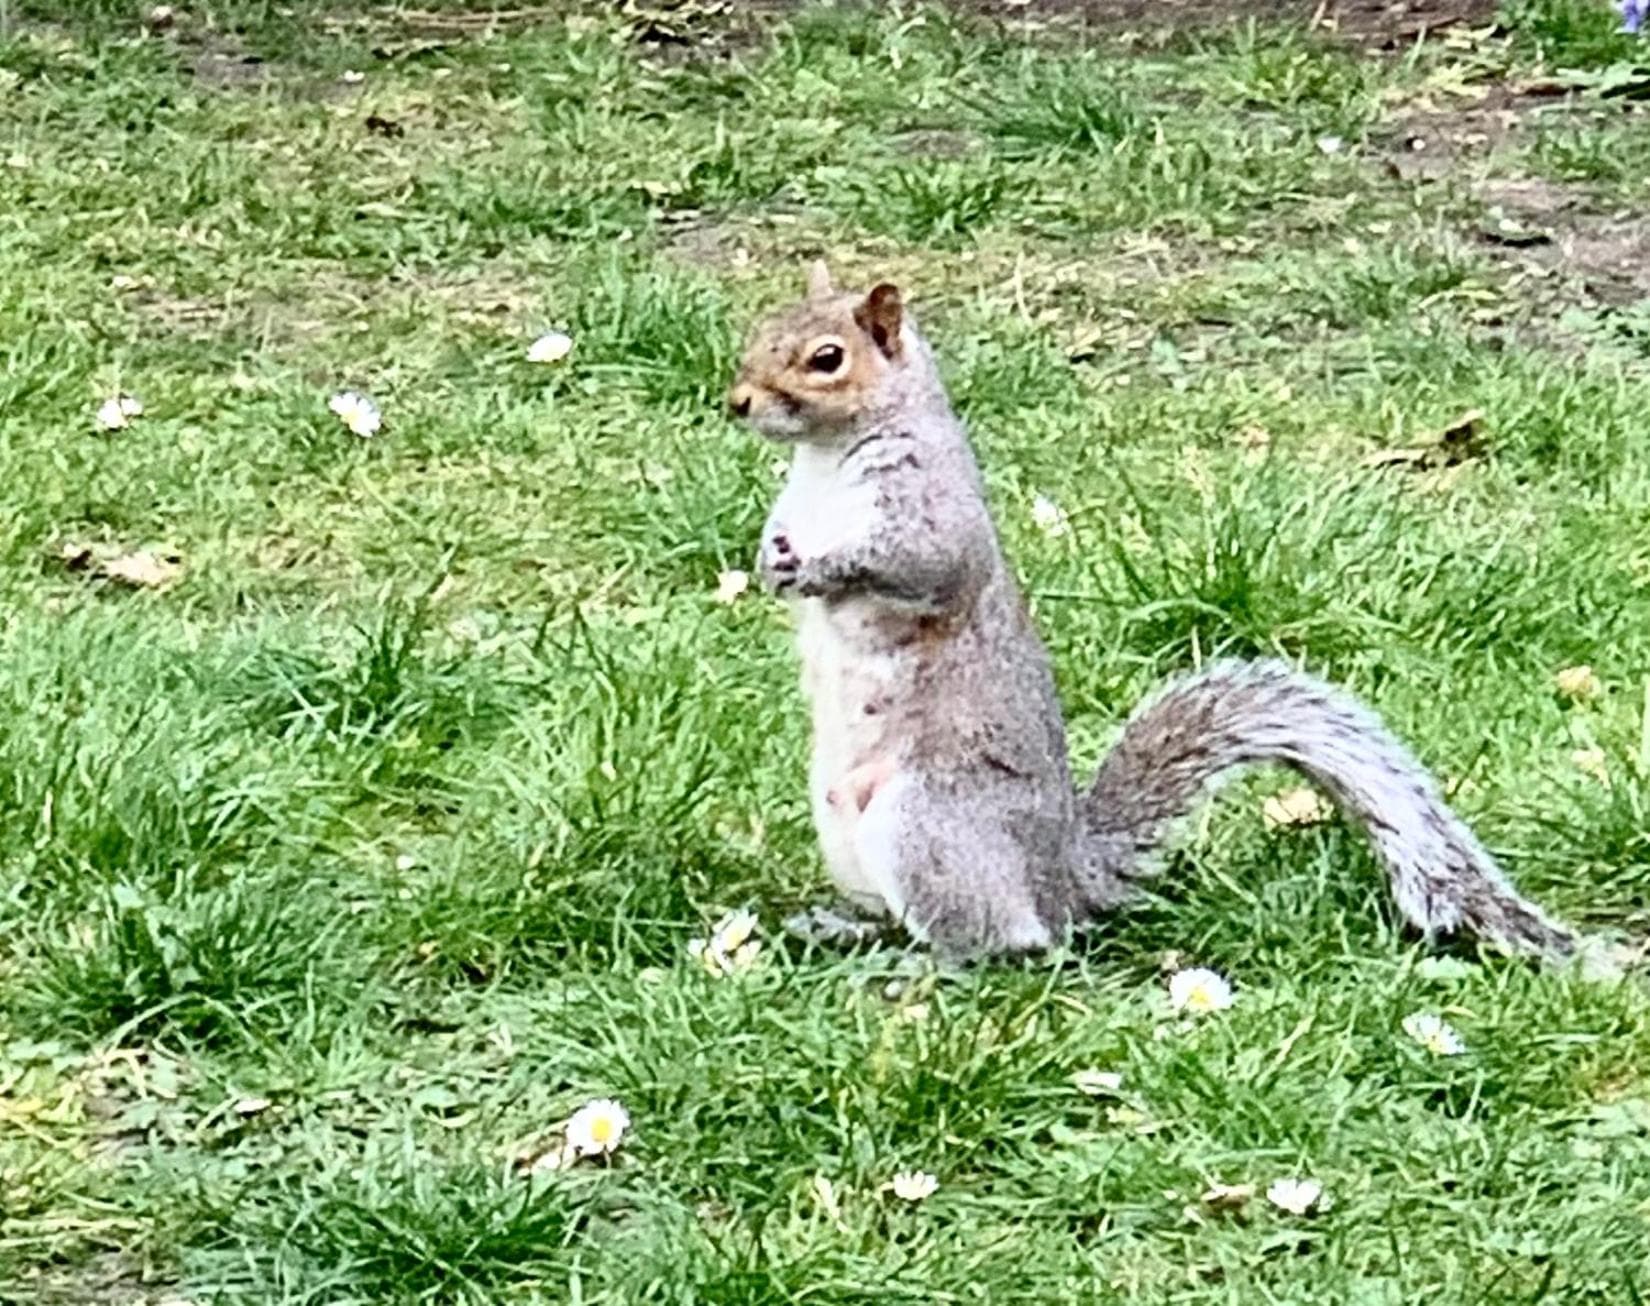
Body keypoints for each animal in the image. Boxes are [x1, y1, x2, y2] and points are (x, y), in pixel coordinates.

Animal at [725, 260, 1587, 967]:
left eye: (827, 358)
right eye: (763, 328)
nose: (737, 401)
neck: (828, 458)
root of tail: (1061, 879)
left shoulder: (931, 515)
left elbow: (918, 567)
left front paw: (822, 569)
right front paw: (770, 560)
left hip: (926, 826)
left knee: (1009, 942)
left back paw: (933, 962)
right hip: (842, 830)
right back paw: (846, 927)